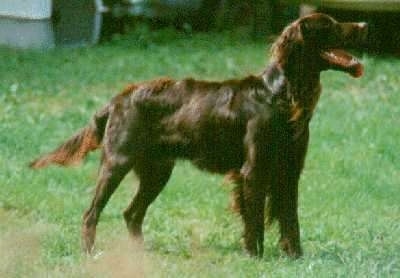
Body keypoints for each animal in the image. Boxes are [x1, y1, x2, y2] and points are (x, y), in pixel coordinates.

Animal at [31, 13, 368, 258]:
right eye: (329, 25)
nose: (365, 26)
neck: (279, 95)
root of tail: (117, 100)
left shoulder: (289, 169)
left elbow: (291, 220)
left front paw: (295, 257)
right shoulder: (253, 170)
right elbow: (255, 219)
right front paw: (255, 256)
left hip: (157, 171)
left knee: (131, 213)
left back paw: (140, 255)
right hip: (117, 162)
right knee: (91, 213)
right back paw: (90, 254)